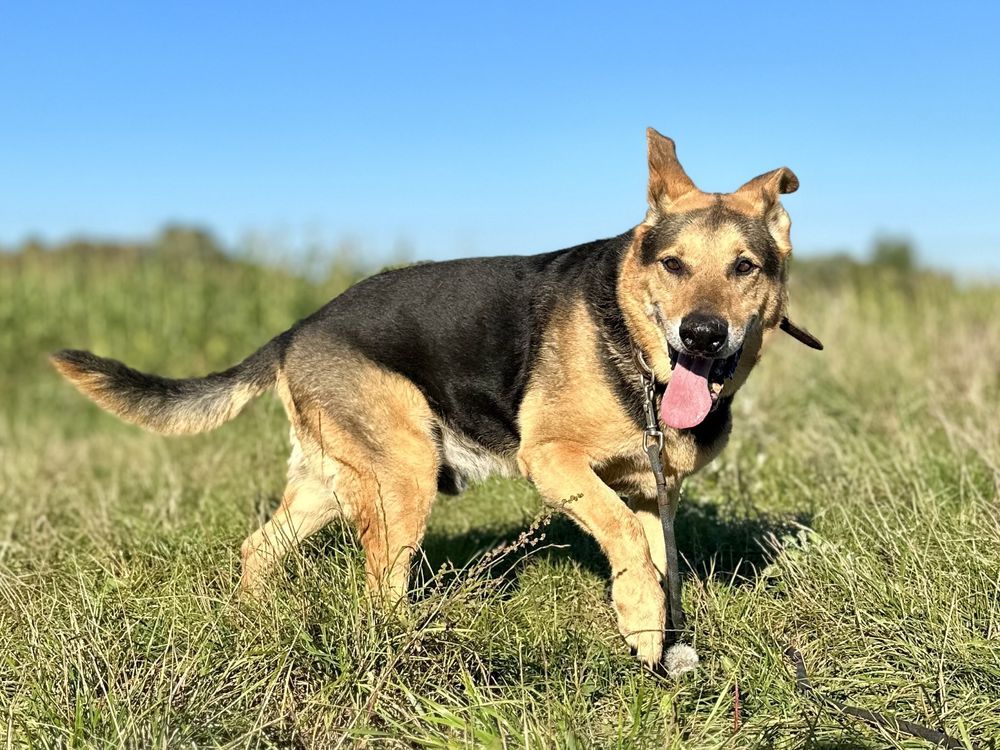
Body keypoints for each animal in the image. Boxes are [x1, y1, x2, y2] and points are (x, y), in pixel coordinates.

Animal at [50, 131, 824, 668]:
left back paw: (252, 621)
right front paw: (639, 620)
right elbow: (632, 545)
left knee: (259, 547)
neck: (637, 353)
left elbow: (656, 556)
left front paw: (658, 636)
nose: (702, 334)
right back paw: (410, 651)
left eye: (744, 268)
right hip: (405, 476)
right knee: (380, 593)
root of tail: (296, 329)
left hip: (336, 481)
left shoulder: (646, 488)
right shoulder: (556, 463)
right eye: (673, 265)